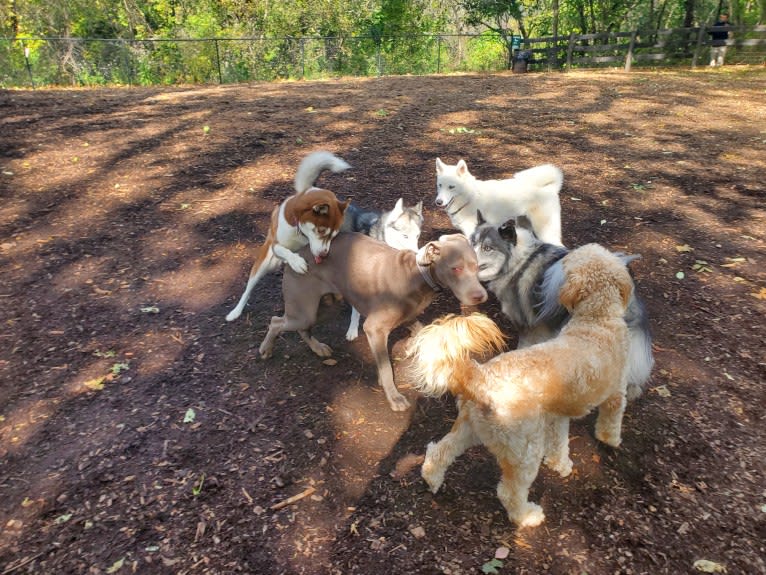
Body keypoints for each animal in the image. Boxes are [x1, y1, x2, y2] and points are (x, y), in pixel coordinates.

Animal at [225, 151, 352, 322]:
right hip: (264, 263)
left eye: (334, 236)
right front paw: (297, 262)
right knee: (248, 289)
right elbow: (285, 251)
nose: (324, 254)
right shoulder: (277, 245)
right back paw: (235, 312)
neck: (300, 233)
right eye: (321, 231)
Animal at [258, 232, 486, 412]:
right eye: (456, 269)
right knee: (276, 321)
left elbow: (421, 332)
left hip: (324, 305)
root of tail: (295, 255)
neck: (417, 275)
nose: (480, 297)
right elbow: (386, 367)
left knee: (302, 328)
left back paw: (318, 348)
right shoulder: (374, 328)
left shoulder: (409, 317)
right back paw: (266, 349)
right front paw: (394, 397)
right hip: (304, 310)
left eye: (477, 267)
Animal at [412, 243, 632, 528]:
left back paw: (432, 480)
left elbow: (559, 443)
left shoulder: (558, 415)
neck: (596, 319)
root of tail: (481, 377)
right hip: (524, 451)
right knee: (510, 492)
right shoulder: (616, 394)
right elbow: (611, 421)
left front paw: (560, 464)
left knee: (437, 452)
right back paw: (528, 516)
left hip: (468, 429)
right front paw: (611, 440)